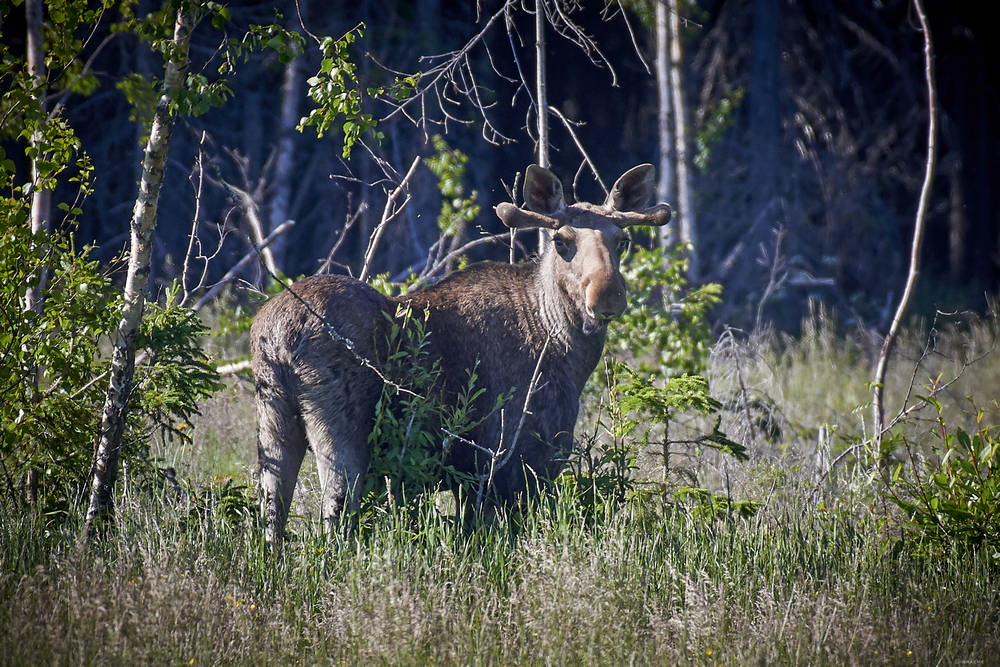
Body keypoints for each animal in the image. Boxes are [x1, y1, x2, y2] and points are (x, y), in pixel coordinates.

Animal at [250, 163, 672, 544]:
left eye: (622, 240)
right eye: (561, 241)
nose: (607, 294)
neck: (564, 347)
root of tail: (280, 333)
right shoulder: (511, 461)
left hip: (273, 420)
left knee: (272, 517)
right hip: (341, 429)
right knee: (335, 517)